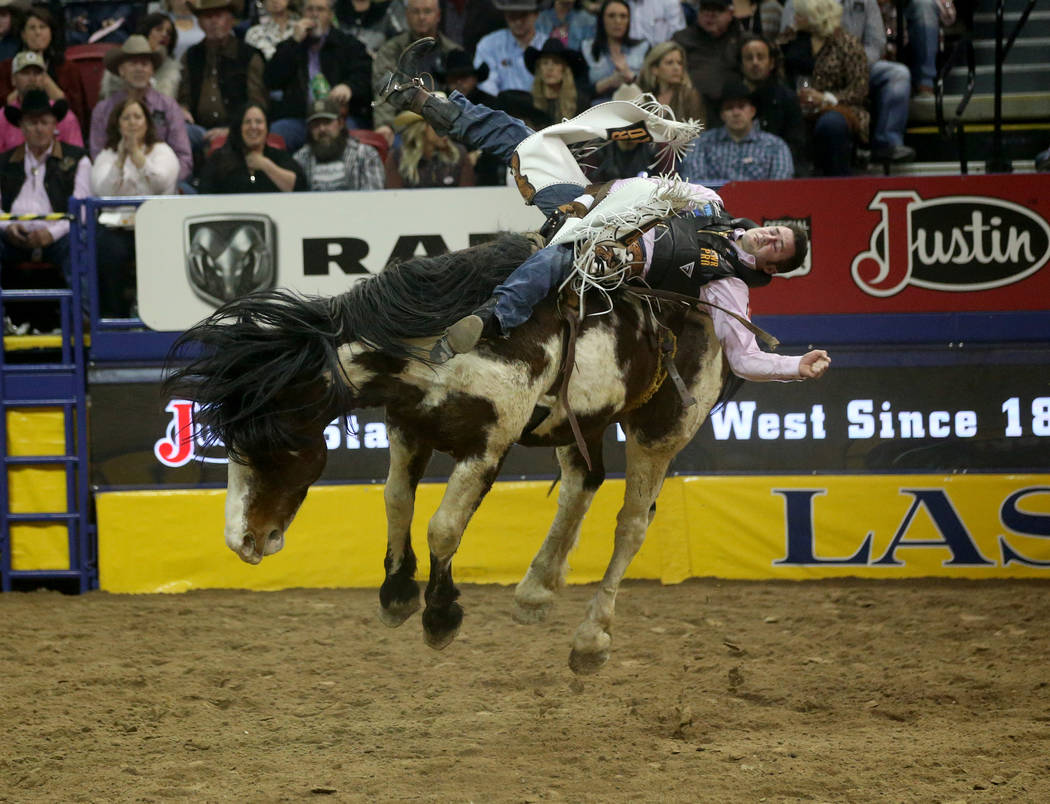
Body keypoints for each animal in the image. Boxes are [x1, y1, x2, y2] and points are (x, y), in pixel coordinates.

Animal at [168, 233, 730, 671]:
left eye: (276, 442)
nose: (242, 540)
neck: (443, 346)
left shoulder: (487, 445)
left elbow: (443, 527)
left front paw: (440, 616)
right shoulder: (408, 428)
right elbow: (397, 500)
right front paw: (396, 594)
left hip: (664, 429)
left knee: (632, 523)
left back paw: (591, 638)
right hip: (579, 424)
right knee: (582, 484)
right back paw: (536, 590)